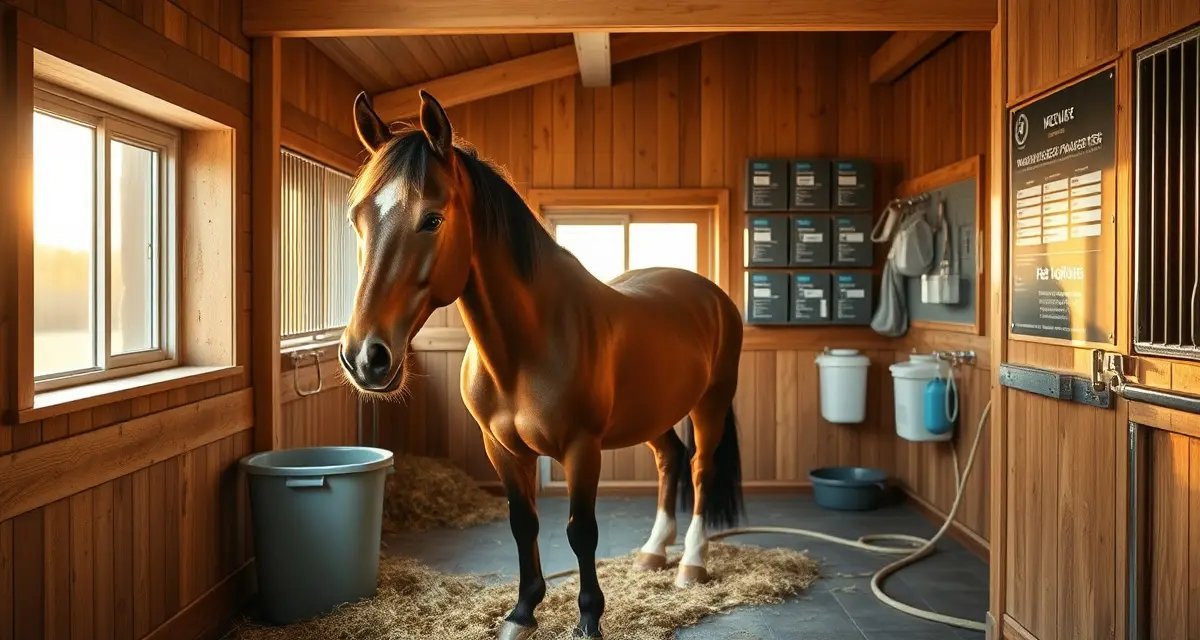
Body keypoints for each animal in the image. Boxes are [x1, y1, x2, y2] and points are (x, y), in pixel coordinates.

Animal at [337, 89, 746, 640]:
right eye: (357, 218)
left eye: (432, 218)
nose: (365, 357)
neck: (522, 350)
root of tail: (710, 294)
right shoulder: (502, 449)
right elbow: (522, 522)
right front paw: (522, 612)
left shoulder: (581, 448)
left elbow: (581, 531)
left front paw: (589, 619)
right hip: (652, 413)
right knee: (670, 459)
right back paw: (653, 553)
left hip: (710, 405)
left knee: (700, 469)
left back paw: (691, 564)